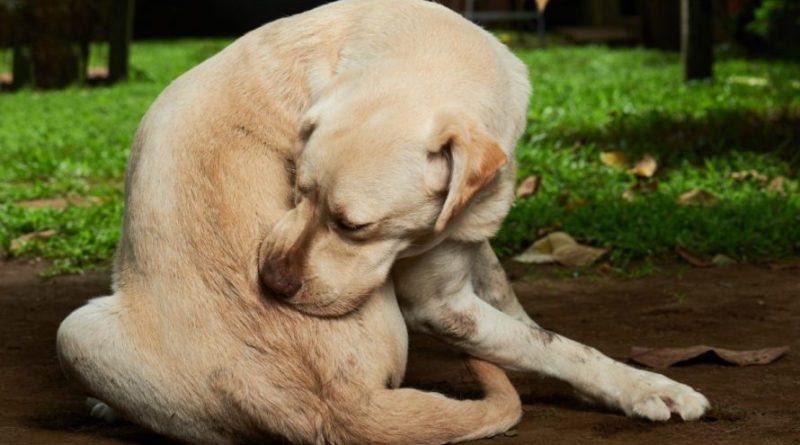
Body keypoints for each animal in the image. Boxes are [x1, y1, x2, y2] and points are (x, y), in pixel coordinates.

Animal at [54, 0, 708, 442]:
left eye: (355, 227)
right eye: (297, 190)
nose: (271, 284)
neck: (422, 44)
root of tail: (337, 408)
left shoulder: (465, 247)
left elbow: (524, 318)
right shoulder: (440, 305)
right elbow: (557, 345)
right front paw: (648, 386)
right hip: (73, 331)